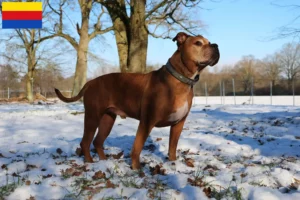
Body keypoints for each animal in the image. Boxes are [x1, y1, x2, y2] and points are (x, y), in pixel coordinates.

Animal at [55, 32, 219, 170]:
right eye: (198, 43)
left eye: (209, 42)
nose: (216, 45)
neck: (180, 78)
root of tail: (90, 82)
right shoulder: (147, 121)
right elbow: (137, 147)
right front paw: (136, 169)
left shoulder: (178, 124)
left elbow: (172, 147)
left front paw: (173, 164)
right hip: (92, 117)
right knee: (85, 142)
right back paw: (90, 163)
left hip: (108, 119)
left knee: (98, 141)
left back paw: (104, 162)